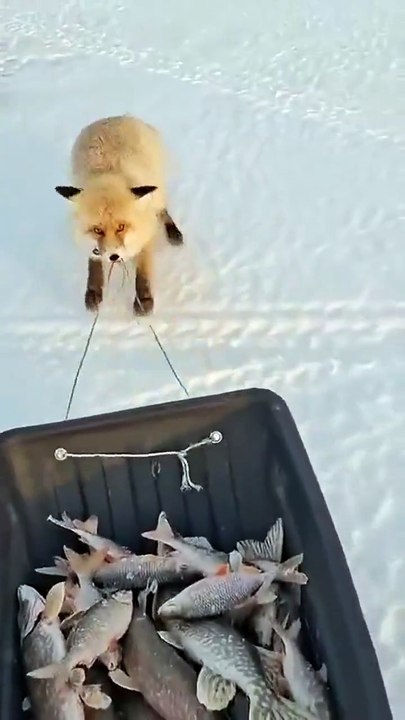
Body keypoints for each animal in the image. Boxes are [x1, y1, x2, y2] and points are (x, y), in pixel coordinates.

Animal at [55, 114, 183, 315]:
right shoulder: (92, 245)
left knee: (163, 210)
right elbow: (94, 263)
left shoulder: (145, 232)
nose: (114, 257)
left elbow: (143, 271)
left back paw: (173, 231)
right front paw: (93, 290)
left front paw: (144, 299)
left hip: (157, 192)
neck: (108, 174)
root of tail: (118, 116)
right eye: (97, 230)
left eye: (121, 227)